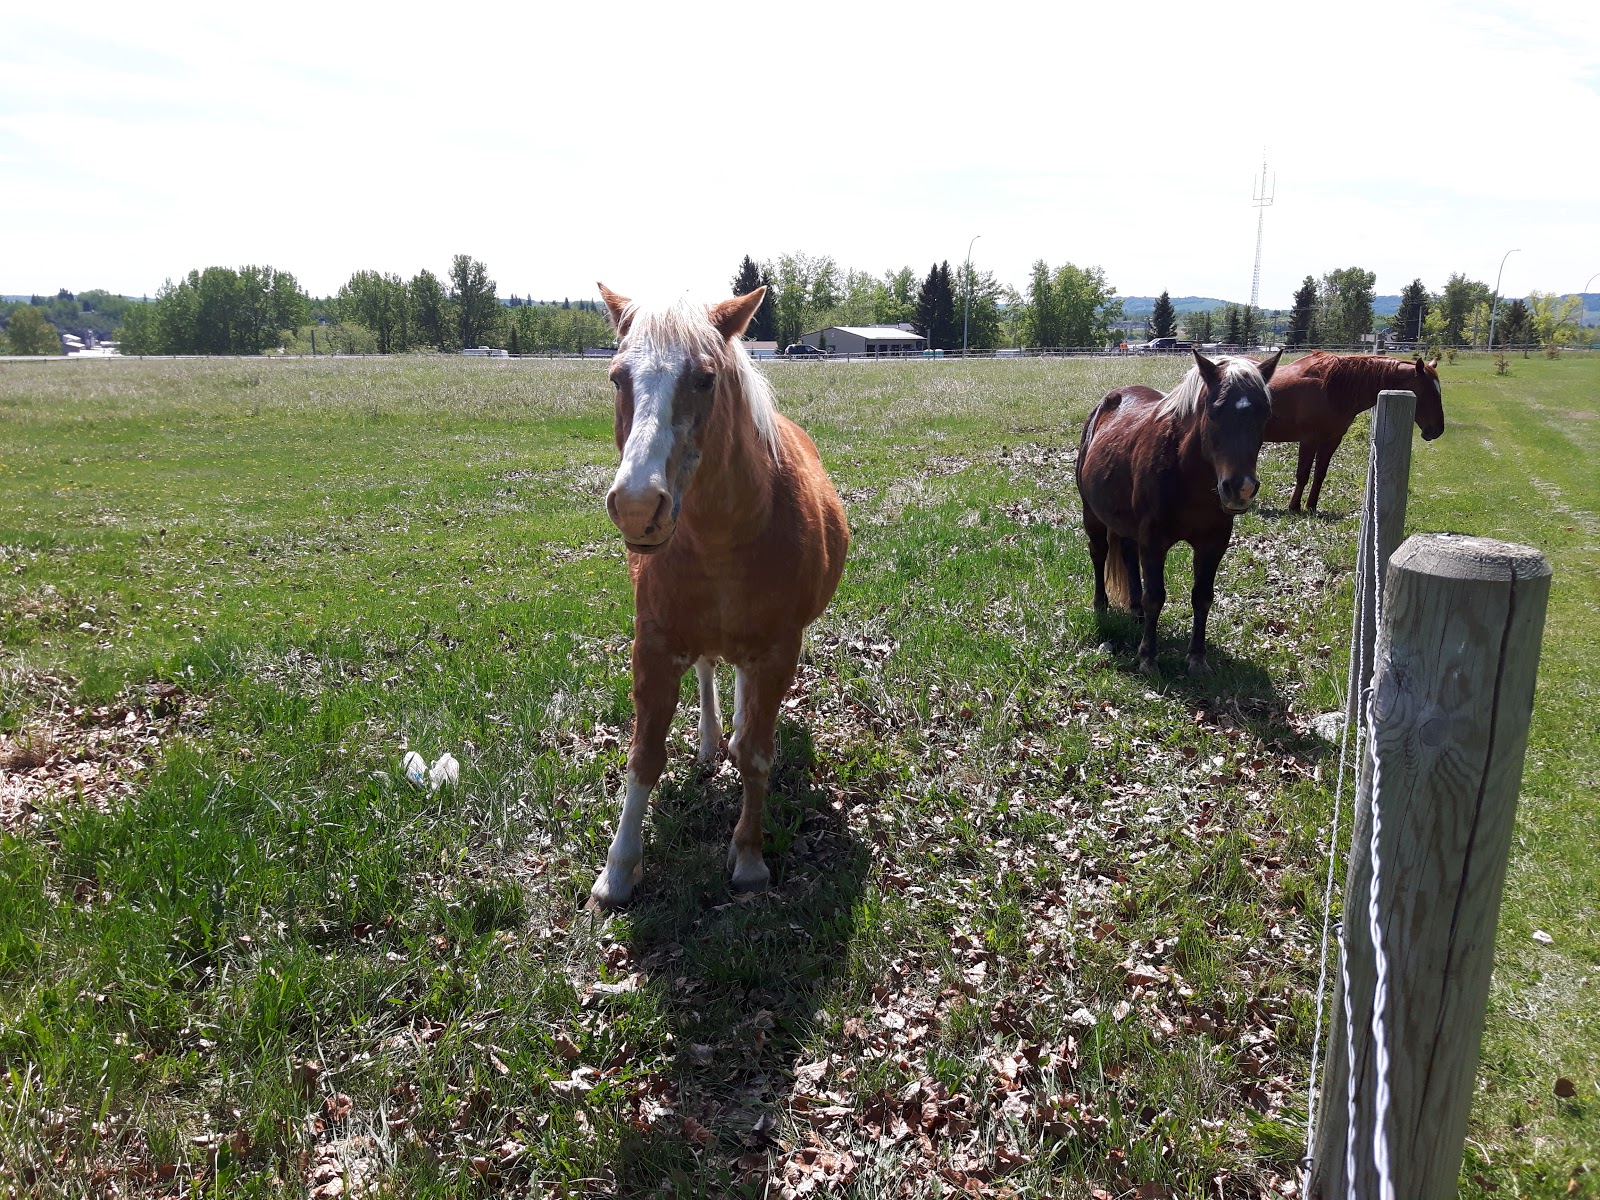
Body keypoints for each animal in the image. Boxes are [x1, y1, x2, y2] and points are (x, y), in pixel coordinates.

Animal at [588, 286, 851, 908]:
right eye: (616, 378)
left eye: (706, 379)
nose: (637, 505)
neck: (723, 536)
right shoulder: (654, 646)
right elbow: (643, 757)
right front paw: (617, 871)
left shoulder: (777, 653)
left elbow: (756, 754)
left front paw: (749, 857)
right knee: (710, 668)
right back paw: (711, 739)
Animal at [1075, 352, 1286, 681]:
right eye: (1214, 411)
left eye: (1265, 414)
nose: (1241, 488)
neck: (1187, 473)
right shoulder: (1154, 540)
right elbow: (1155, 597)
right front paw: (1148, 658)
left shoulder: (1213, 544)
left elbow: (1202, 597)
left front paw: (1197, 658)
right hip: (1092, 515)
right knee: (1099, 554)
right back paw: (1101, 606)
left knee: (1127, 554)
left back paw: (1134, 611)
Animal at [1260, 352, 1452, 512]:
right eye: (1425, 393)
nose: (1436, 430)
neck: (1330, 389)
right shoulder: (1309, 440)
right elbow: (1303, 474)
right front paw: (1294, 506)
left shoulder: (1332, 439)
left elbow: (1320, 474)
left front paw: (1311, 506)